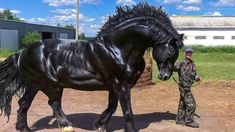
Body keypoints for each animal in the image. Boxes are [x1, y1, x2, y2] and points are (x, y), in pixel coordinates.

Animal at [0, 3, 184, 132]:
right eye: (171, 51)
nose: (165, 76)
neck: (116, 48)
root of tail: (22, 53)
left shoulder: (115, 85)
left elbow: (112, 106)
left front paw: (99, 124)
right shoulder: (121, 84)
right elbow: (127, 111)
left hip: (37, 84)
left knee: (25, 103)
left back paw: (24, 128)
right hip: (47, 84)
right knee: (53, 102)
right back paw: (66, 125)